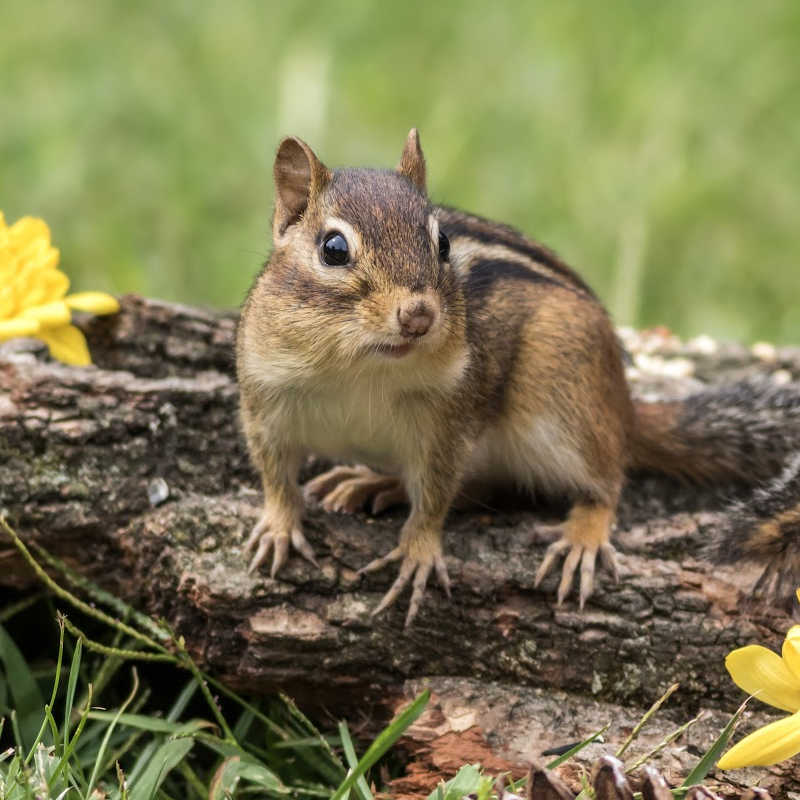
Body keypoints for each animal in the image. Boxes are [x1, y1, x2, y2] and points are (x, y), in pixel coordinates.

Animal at [236, 129, 800, 627]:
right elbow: (274, 474)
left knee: (605, 482)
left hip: (564, 401)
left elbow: (436, 496)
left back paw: (583, 536)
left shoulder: (448, 425)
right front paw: (278, 526)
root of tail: (625, 407)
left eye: (443, 243)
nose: (418, 315)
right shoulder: (265, 401)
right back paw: (374, 480)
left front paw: (418, 551)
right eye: (333, 248)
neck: (358, 369)